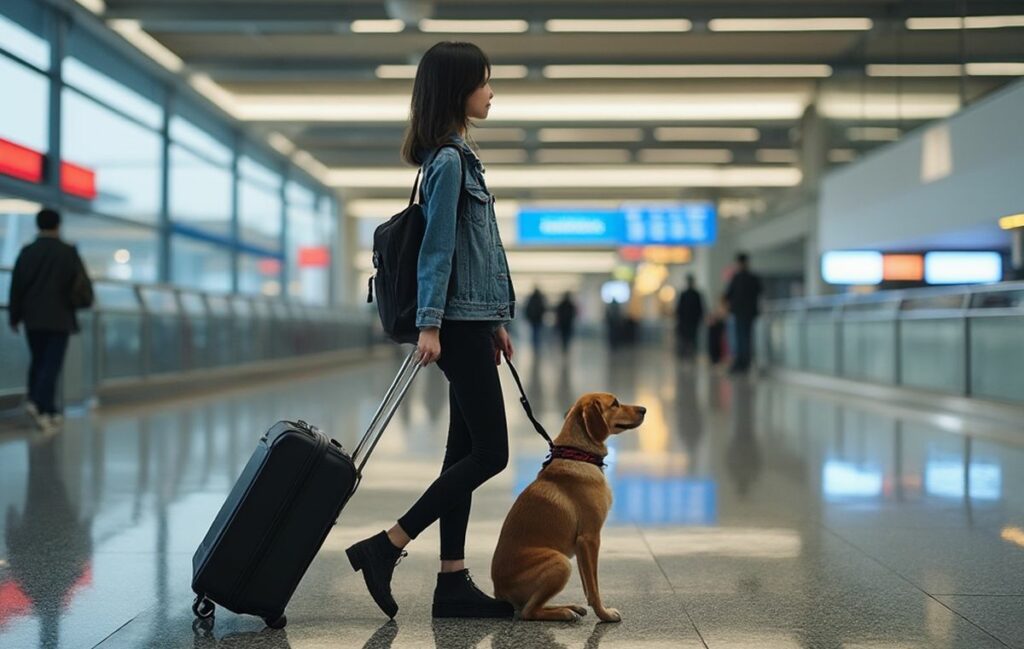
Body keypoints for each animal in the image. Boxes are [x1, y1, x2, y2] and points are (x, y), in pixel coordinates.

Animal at [489, 391, 647, 618]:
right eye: (615, 403)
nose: (644, 409)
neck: (579, 455)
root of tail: (499, 591)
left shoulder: (582, 547)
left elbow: (587, 585)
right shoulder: (590, 538)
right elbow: (594, 586)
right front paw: (604, 614)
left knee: (533, 605)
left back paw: (569, 607)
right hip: (560, 562)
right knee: (528, 612)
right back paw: (563, 613)